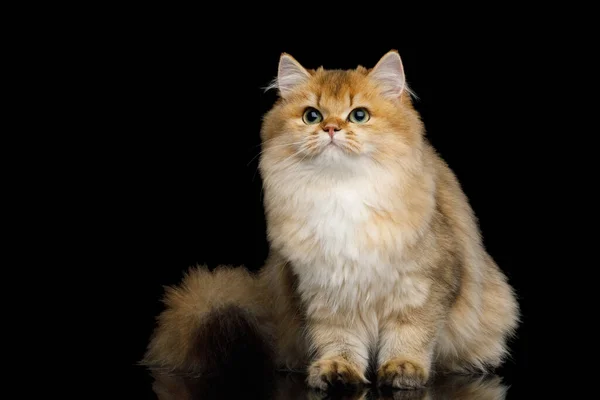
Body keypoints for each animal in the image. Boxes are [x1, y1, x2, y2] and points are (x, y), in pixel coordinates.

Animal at [142, 50, 520, 390]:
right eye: (312, 116)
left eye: (359, 115)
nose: (331, 128)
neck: (341, 193)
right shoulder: (326, 292)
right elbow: (339, 339)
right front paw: (337, 370)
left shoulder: (424, 287)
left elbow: (409, 335)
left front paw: (402, 369)